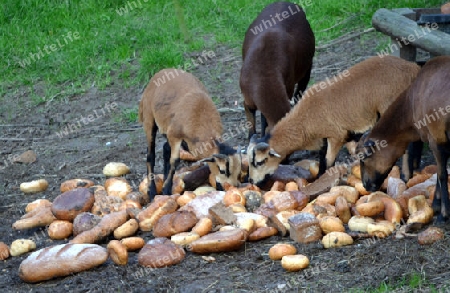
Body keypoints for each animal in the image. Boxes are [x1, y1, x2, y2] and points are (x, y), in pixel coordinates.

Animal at [139, 69, 241, 198]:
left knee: (165, 149)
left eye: (238, 170)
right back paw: (151, 191)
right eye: (223, 170)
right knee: (150, 155)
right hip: (149, 120)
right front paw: (166, 190)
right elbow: (175, 161)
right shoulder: (174, 135)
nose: (233, 186)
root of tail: (160, 72)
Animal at [246, 55, 422, 187]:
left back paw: (406, 176)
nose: (251, 181)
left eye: (260, 162)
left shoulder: (337, 135)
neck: (304, 122)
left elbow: (328, 162)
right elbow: (323, 160)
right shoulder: (325, 137)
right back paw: (416, 167)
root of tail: (413, 68)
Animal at [356, 56, 448, 221]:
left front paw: (442, 212)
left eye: (364, 157)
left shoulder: (436, 138)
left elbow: (442, 174)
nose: (366, 185)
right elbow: (440, 173)